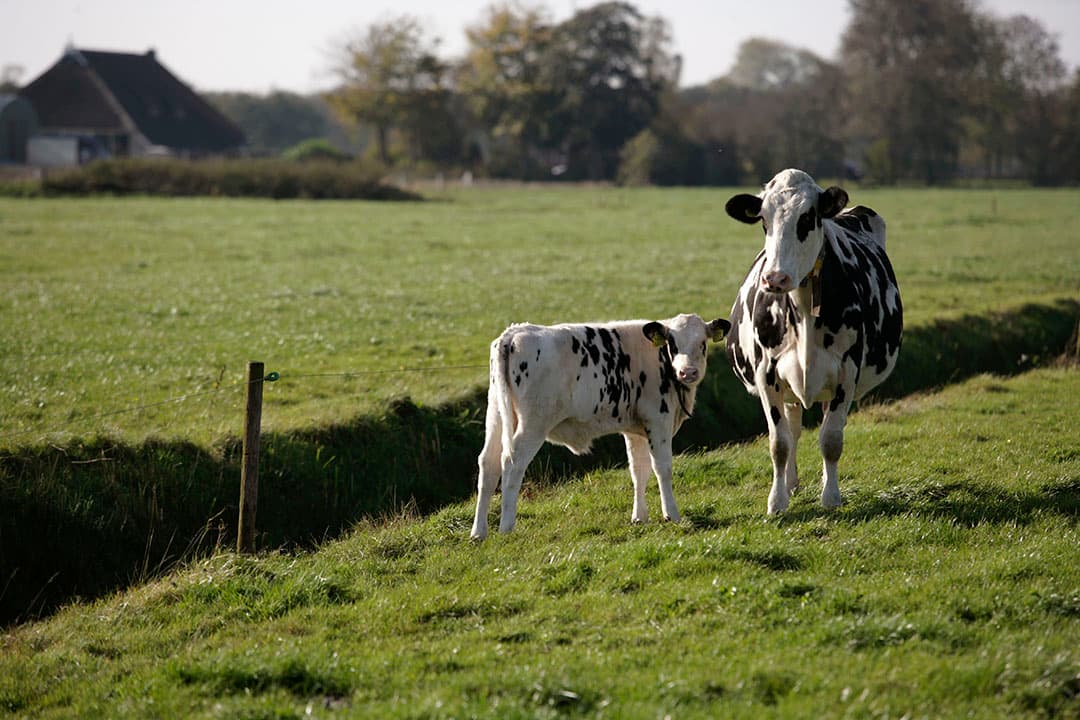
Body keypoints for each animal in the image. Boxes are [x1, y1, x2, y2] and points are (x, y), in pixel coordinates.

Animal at [470, 313, 731, 539]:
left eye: (702, 343)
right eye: (673, 344)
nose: (688, 372)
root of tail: (514, 332)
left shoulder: (635, 429)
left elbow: (639, 470)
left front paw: (639, 517)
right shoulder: (658, 420)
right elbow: (662, 468)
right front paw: (671, 514)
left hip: (496, 415)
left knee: (488, 464)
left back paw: (478, 532)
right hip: (533, 424)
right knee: (512, 463)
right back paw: (506, 527)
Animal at [724, 168, 902, 515]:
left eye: (808, 217)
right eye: (764, 219)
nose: (775, 279)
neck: (804, 309)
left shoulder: (846, 372)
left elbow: (831, 439)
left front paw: (830, 497)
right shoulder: (766, 374)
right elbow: (779, 442)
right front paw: (777, 501)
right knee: (793, 427)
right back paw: (791, 483)